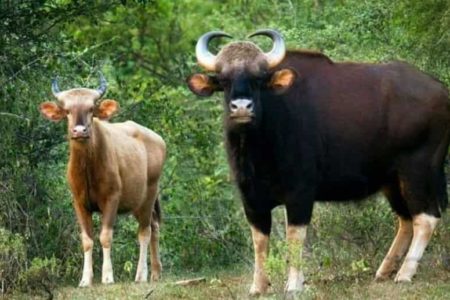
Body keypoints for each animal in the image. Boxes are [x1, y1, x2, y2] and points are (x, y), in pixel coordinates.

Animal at [186, 29, 450, 294]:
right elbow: (259, 241)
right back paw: (385, 270)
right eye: (224, 80)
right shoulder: (250, 197)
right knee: (406, 219)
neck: (259, 148)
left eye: (258, 79)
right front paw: (258, 286)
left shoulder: (300, 193)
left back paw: (405, 273)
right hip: (391, 180)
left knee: (426, 218)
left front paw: (294, 284)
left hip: (417, 170)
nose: (241, 107)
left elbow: (294, 237)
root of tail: (441, 90)